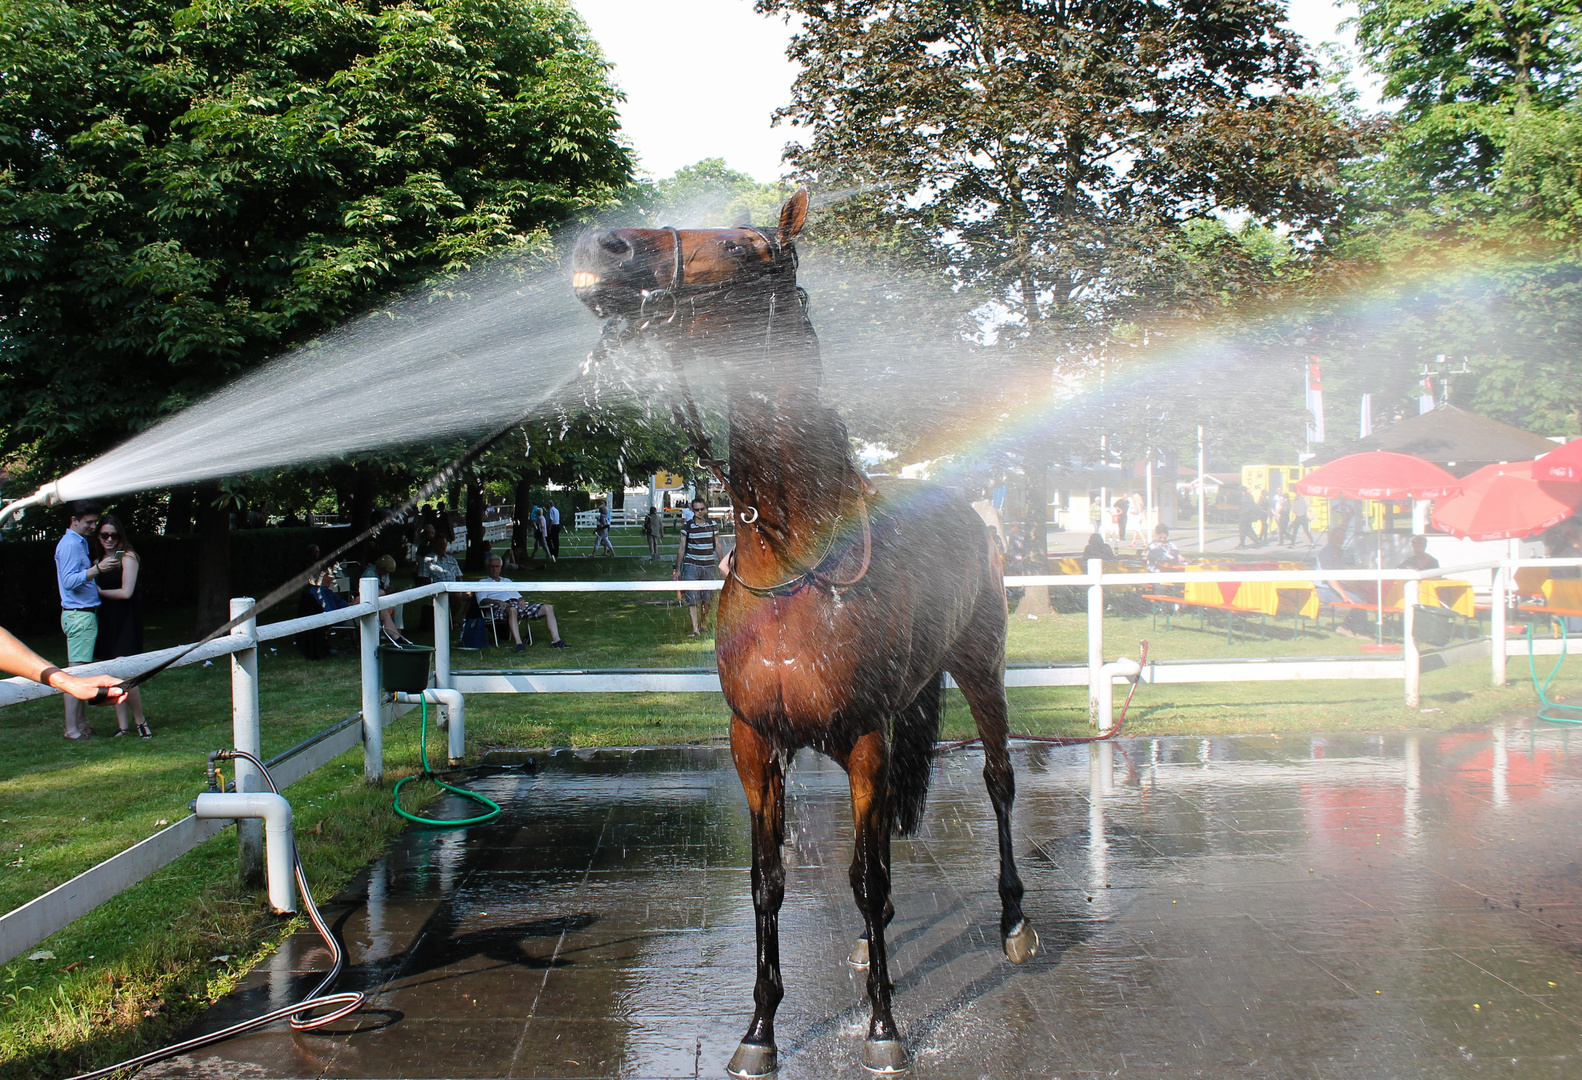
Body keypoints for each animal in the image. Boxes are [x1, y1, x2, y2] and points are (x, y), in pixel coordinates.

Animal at [572, 189, 1037, 1075]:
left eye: (746, 247)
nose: (602, 249)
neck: (798, 558)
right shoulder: (756, 741)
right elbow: (772, 882)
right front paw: (759, 1030)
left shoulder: (864, 739)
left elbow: (869, 876)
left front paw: (885, 1027)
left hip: (980, 666)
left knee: (998, 782)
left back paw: (1014, 924)